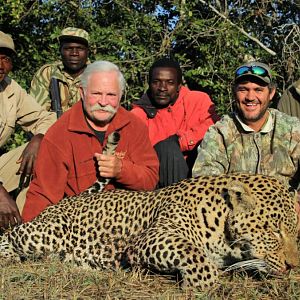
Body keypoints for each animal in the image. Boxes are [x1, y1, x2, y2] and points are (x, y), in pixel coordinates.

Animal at [0, 173, 298, 290]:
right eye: (274, 231)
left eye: (296, 233)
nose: (293, 266)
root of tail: (64, 201)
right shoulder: (153, 237)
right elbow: (195, 255)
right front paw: (200, 284)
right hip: (46, 232)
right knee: (11, 233)